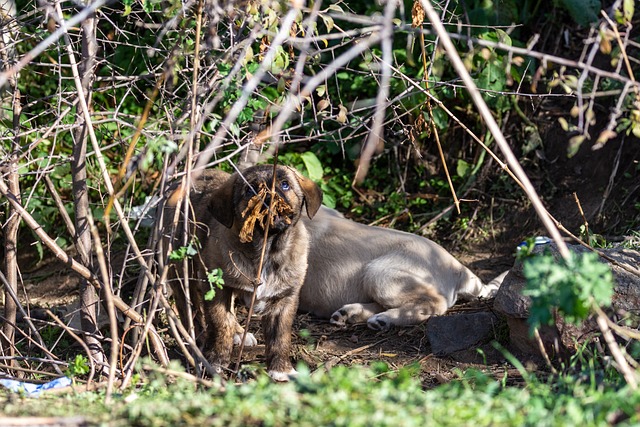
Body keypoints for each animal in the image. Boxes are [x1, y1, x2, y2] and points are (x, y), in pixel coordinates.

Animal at [162, 166, 322, 382]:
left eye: (285, 184)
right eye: (249, 190)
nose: (268, 196)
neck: (266, 249)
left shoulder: (285, 299)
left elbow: (280, 337)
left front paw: (282, 369)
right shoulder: (218, 289)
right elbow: (221, 325)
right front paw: (217, 361)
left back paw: (237, 333)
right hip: (180, 269)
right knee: (190, 308)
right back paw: (196, 340)